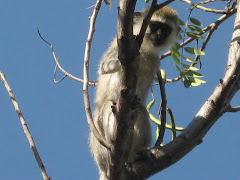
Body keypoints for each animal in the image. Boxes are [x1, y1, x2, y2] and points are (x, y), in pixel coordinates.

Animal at [89, 5, 178, 180]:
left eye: (165, 29)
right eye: (155, 26)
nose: (159, 35)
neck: (144, 49)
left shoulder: (154, 62)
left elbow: (141, 97)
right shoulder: (118, 46)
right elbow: (104, 66)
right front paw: (122, 62)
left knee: (141, 111)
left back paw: (139, 154)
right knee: (109, 105)